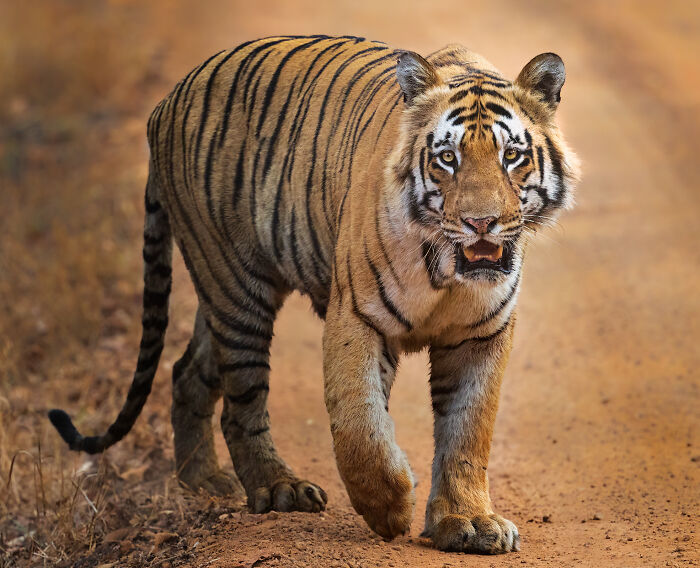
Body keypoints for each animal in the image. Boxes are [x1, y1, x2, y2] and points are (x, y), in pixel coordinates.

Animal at [49, 35, 580, 554]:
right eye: (447, 158)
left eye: (511, 156)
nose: (480, 222)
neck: (448, 271)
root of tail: (166, 100)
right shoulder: (357, 316)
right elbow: (360, 423)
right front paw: (389, 508)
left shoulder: (481, 334)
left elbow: (468, 430)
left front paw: (467, 521)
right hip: (236, 286)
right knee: (241, 401)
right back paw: (277, 488)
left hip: (218, 294)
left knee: (186, 372)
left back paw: (203, 481)